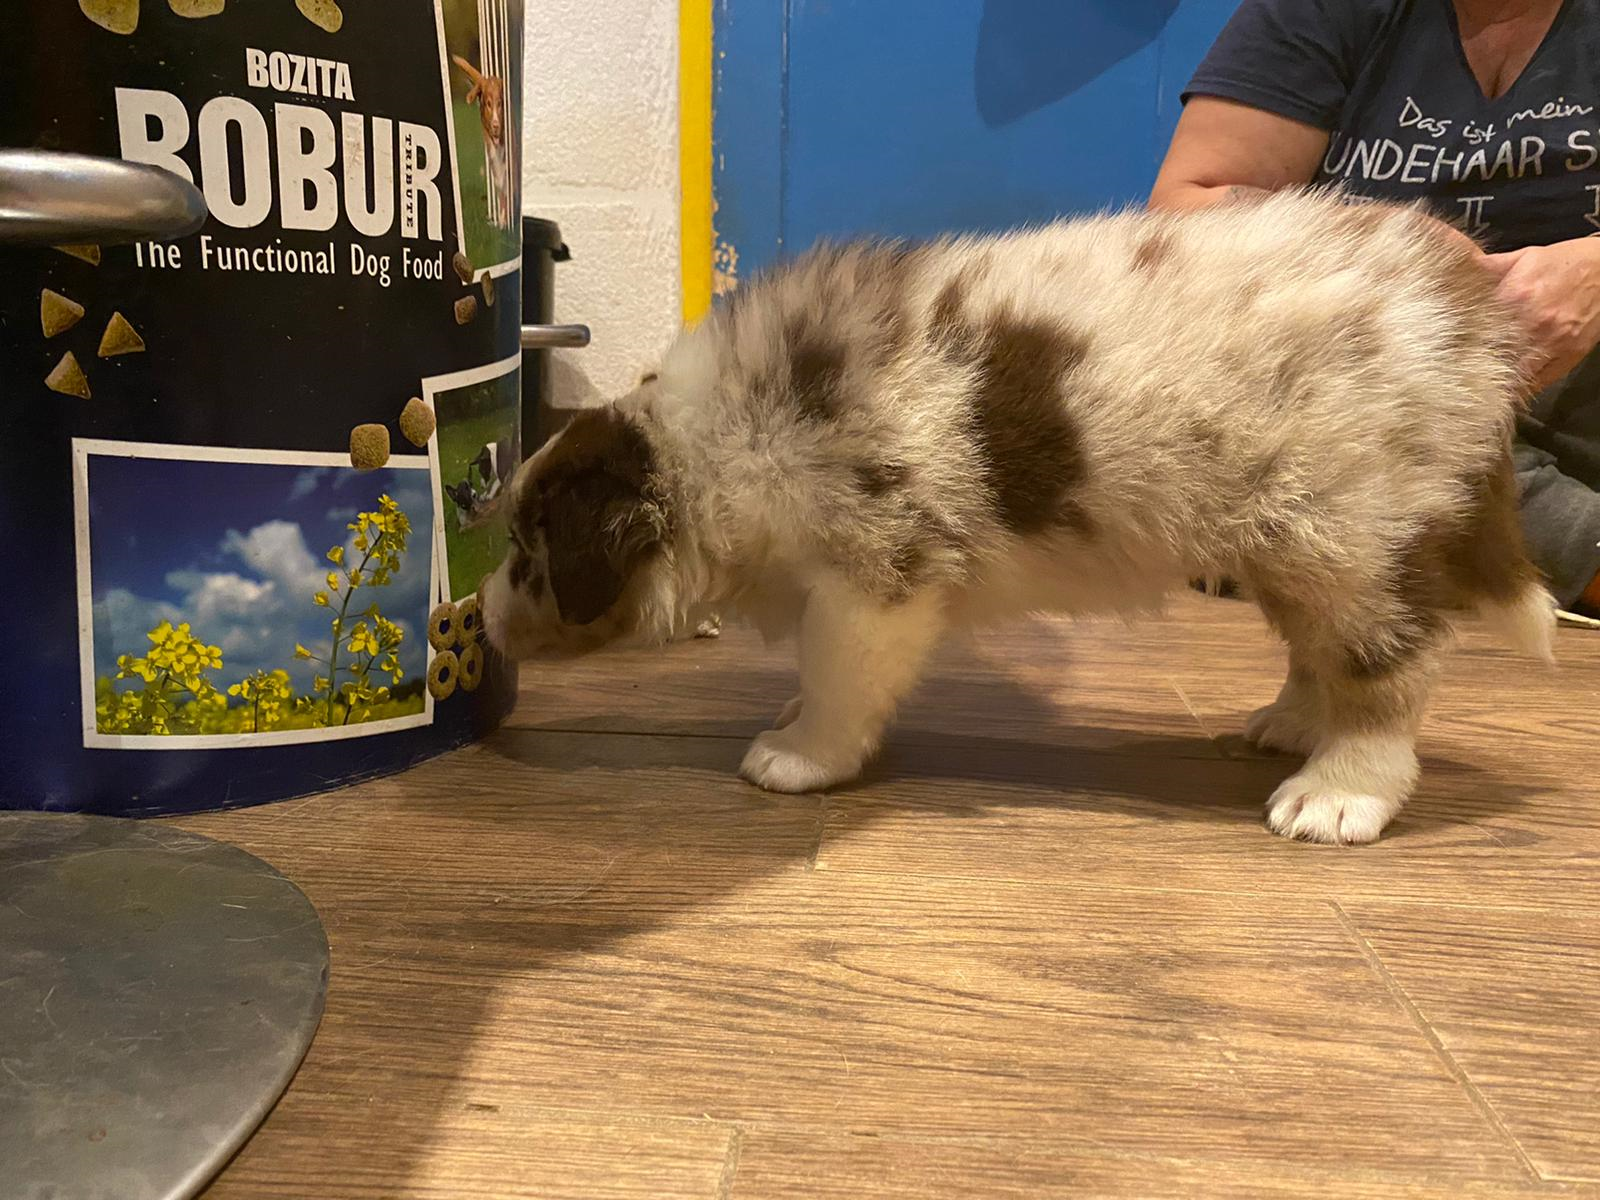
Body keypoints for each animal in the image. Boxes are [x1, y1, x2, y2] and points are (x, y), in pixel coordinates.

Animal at [480, 190, 1555, 846]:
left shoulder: (878, 579)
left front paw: (800, 754)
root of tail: (1471, 323)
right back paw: (1291, 724)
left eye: (528, 551)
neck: (724, 445)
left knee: (1389, 674)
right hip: (1287, 542)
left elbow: (837, 681)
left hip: (1352, 538)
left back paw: (1340, 792)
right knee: (1312, 650)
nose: (479, 622)